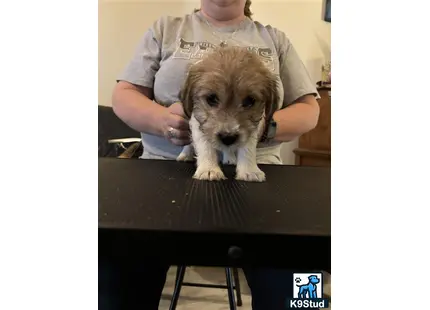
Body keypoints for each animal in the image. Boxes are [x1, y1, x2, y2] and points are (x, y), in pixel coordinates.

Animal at [176, 46, 278, 182]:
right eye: (211, 99)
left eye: (249, 101)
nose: (228, 137)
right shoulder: (198, 123)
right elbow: (205, 146)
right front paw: (209, 169)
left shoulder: (252, 128)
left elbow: (248, 149)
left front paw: (249, 171)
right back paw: (185, 155)